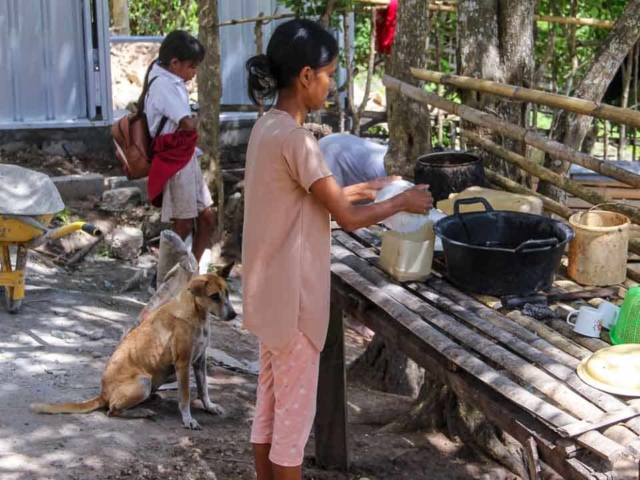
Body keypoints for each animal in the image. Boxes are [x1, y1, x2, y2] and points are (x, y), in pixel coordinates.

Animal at [31, 264, 236, 430]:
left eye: (227, 293)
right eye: (214, 296)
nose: (234, 315)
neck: (197, 313)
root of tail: (103, 394)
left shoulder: (199, 361)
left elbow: (204, 388)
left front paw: (209, 406)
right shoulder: (183, 363)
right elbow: (185, 396)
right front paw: (188, 419)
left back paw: (151, 400)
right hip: (143, 381)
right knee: (112, 410)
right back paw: (141, 412)